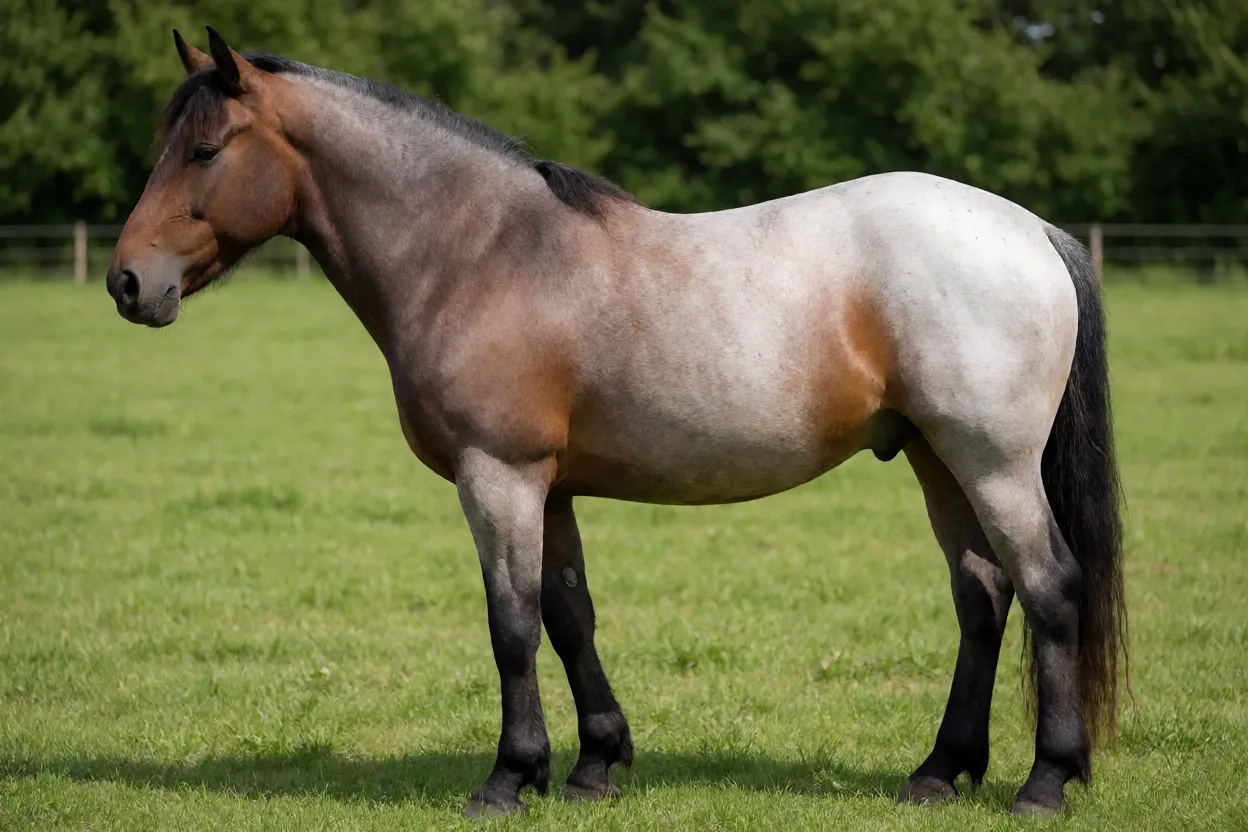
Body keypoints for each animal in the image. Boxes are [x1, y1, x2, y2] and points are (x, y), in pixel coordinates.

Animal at [106, 28, 1126, 819]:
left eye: (206, 150)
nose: (127, 282)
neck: (479, 254)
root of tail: (1033, 231)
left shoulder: (498, 474)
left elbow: (512, 623)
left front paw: (508, 778)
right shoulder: (547, 486)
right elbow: (569, 615)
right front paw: (595, 764)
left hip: (991, 464)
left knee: (1050, 587)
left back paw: (1044, 782)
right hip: (934, 459)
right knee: (982, 597)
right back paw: (940, 772)